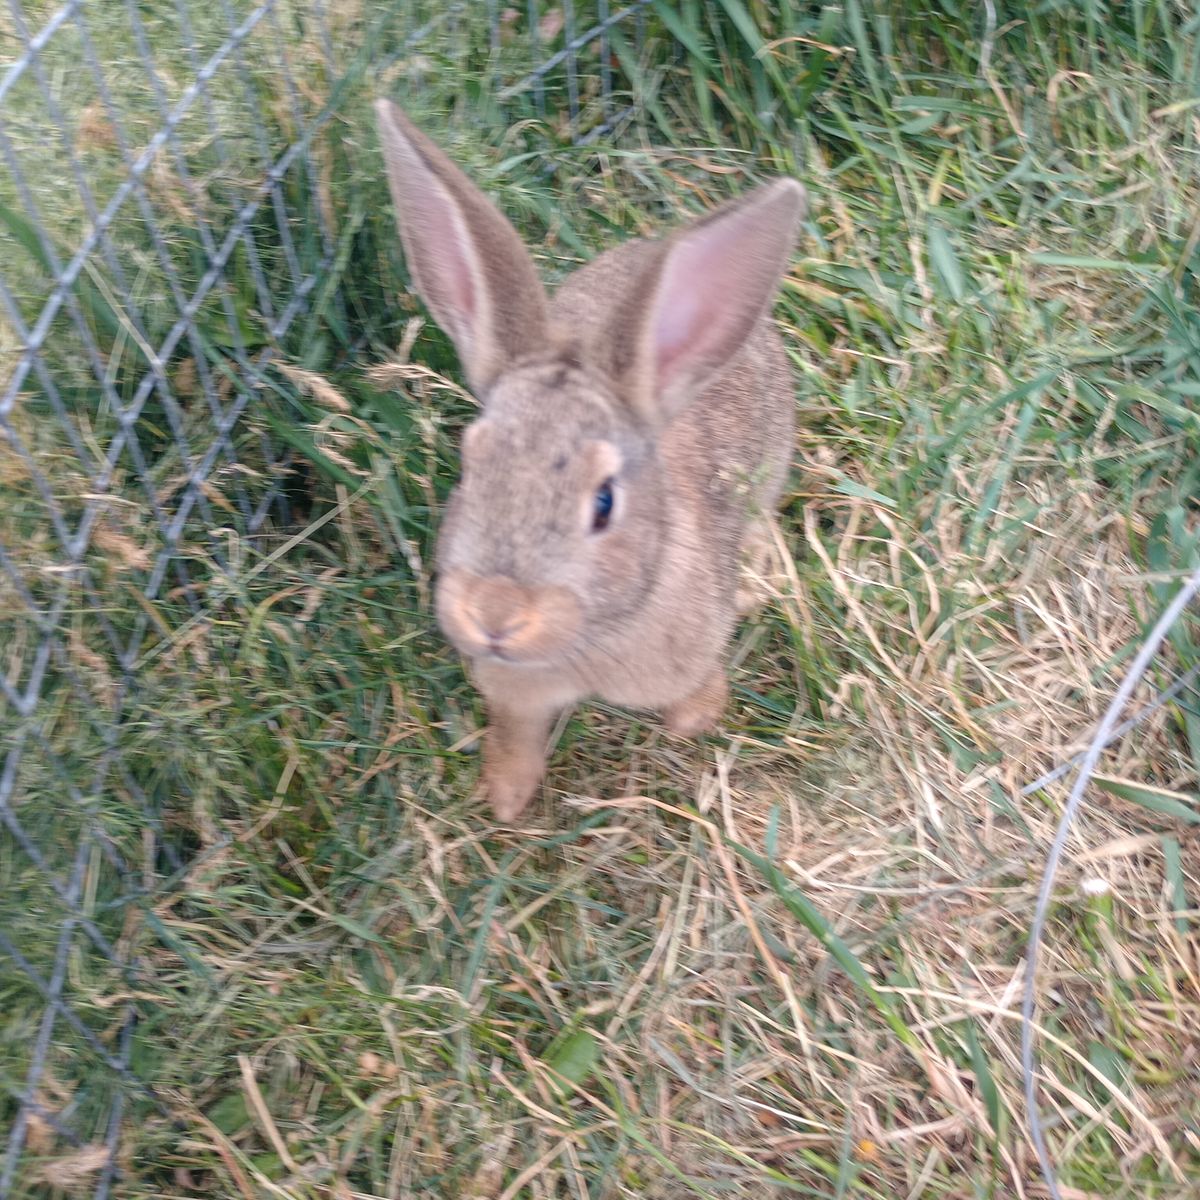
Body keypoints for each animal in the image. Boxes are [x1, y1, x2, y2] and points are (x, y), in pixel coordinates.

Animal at [375, 99, 805, 823]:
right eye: (471, 468)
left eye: (604, 502)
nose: (495, 616)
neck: (591, 640)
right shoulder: (514, 693)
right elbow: (515, 738)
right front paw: (505, 800)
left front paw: (693, 722)